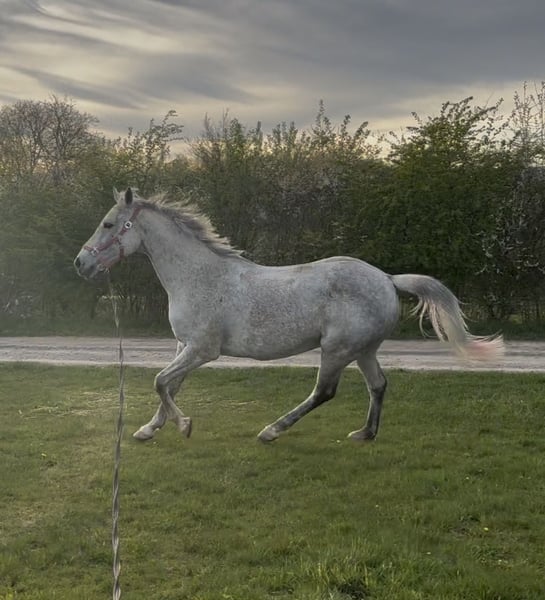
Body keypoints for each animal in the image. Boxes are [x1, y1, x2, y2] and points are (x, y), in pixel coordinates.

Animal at [74, 188, 504, 443]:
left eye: (108, 223)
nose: (81, 264)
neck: (199, 276)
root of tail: (386, 278)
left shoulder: (202, 349)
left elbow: (161, 382)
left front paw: (184, 425)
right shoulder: (184, 346)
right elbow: (169, 386)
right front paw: (149, 429)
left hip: (336, 350)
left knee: (324, 392)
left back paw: (272, 430)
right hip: (363, 350)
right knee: (378, 385)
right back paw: (364, 434)